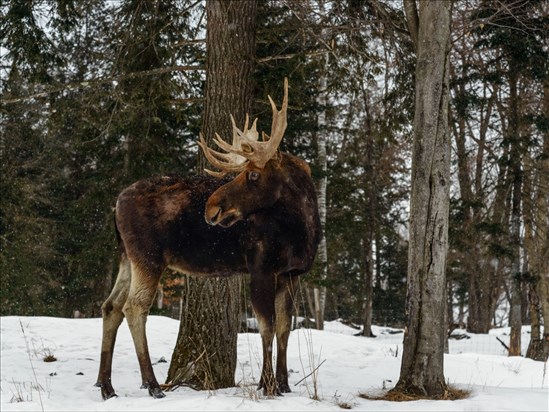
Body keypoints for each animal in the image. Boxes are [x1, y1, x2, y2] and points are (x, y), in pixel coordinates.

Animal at [95, 79, 322, 400]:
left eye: (253, 174)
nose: (212, 207)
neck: (302, 229)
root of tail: (115, 205)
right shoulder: (260, 268)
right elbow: (266, 327)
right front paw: (267, 384)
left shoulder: (292, 273)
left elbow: (284, 328)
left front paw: (284, 384)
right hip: (148, 257)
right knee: (134, 307)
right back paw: (152, 384)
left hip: (127, 256)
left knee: (110, 306)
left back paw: (106, 385)